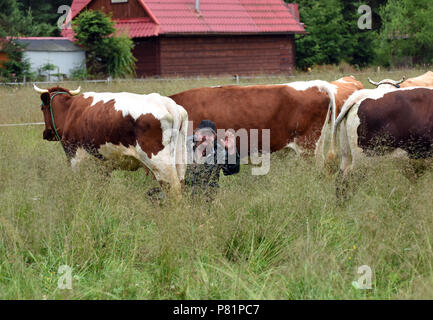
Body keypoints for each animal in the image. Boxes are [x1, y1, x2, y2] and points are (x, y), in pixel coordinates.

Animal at [33, 85, 187, 195]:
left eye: (42, 108)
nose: (46, 133)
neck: (70, 110)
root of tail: (167, 103)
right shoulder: (102, 165)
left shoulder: (75, 157)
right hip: (180, 159)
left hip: (159, 162)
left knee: (173, 188)